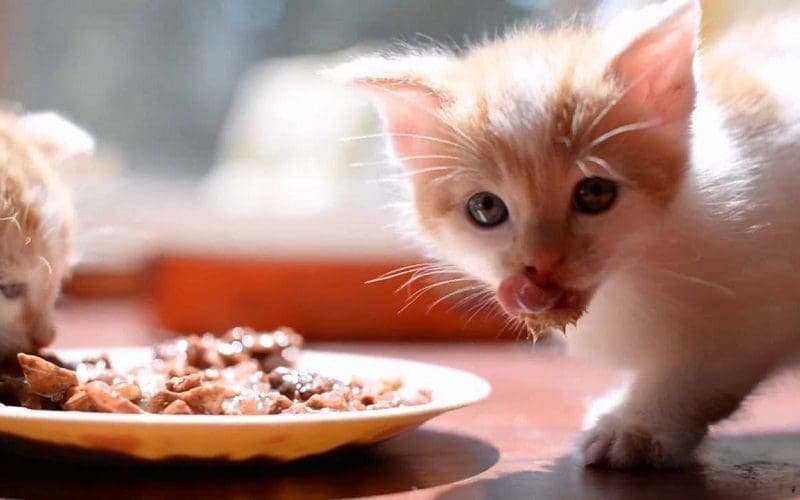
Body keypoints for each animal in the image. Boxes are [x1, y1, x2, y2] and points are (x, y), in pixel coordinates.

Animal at [330, 0, 800, 468]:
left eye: (595, 193)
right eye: (486, 208)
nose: (541, 262)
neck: (645, 260)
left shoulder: (759, 302)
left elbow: (702, 368)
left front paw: (636, 425)